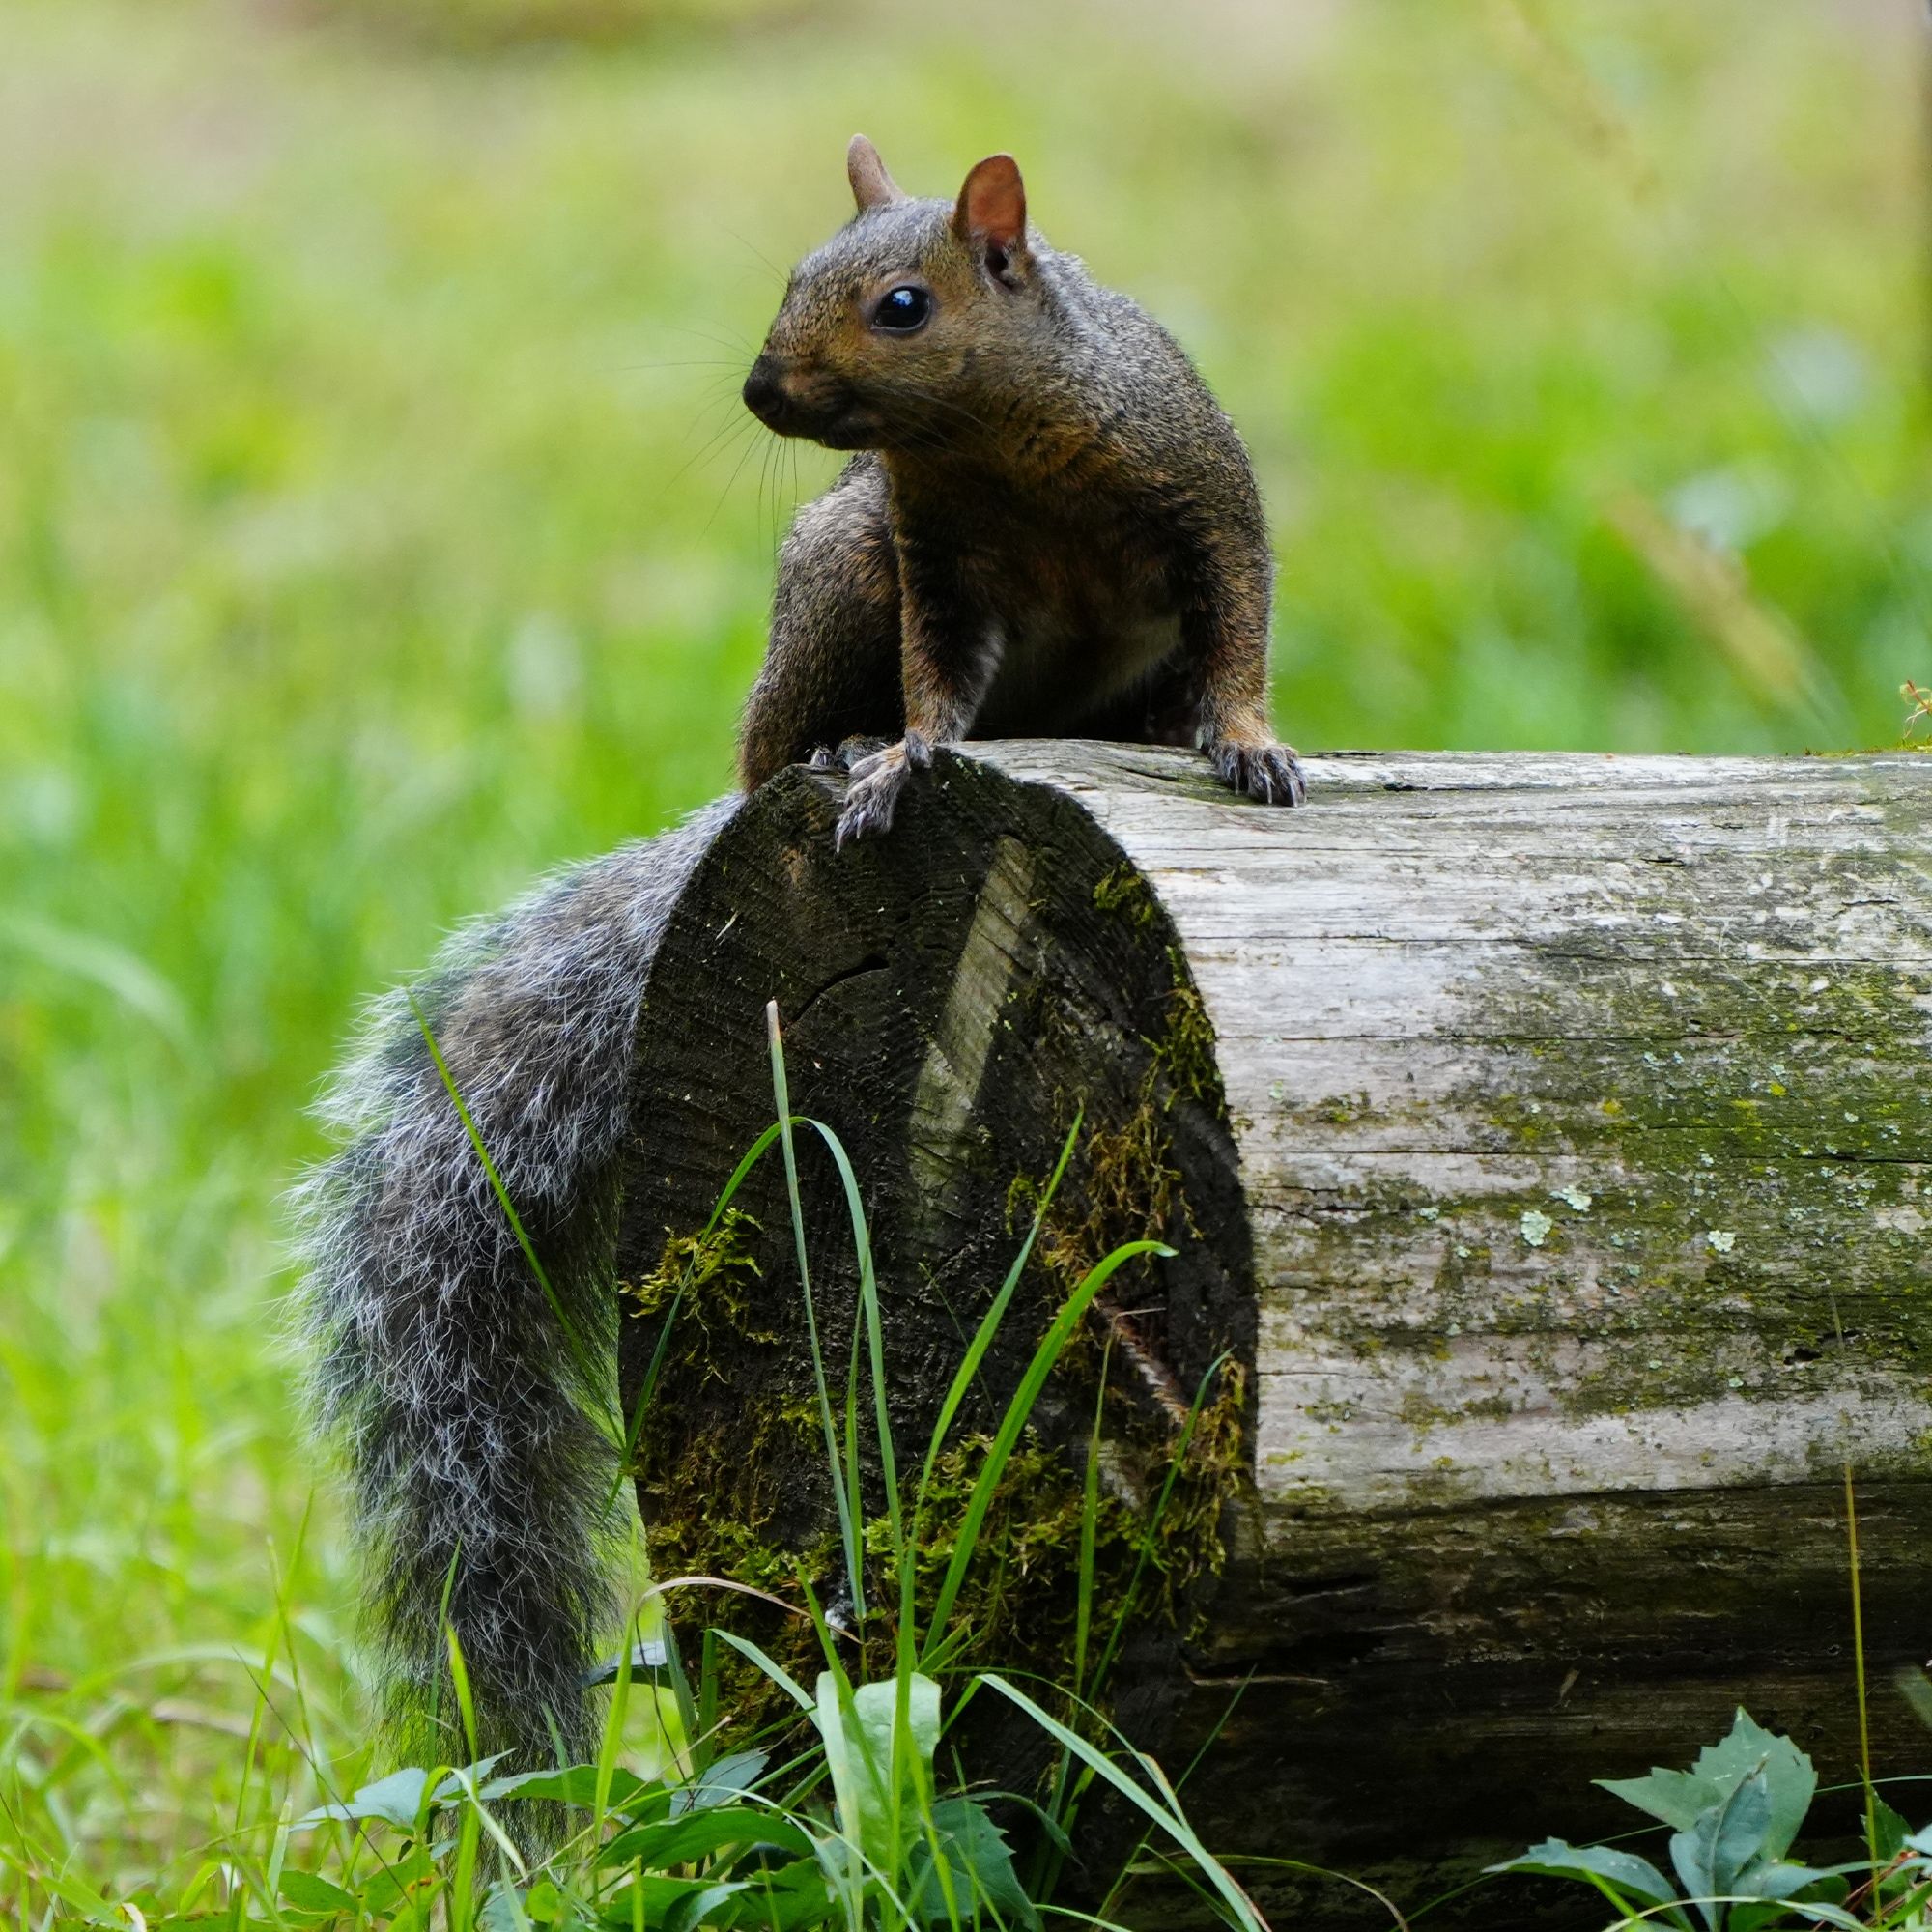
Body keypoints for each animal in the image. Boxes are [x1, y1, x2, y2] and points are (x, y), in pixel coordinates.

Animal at [295, 137, 1300, 1778]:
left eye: (903, 305)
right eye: (787, 277)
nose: (766, 388)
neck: (1000, 443)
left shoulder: (1200, 498)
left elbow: (1238, 635)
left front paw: (1253, 742)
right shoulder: (927, 563)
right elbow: (937, 688)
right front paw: (904, 759)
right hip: (832, 567)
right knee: (773, 746)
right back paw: (829, 757)